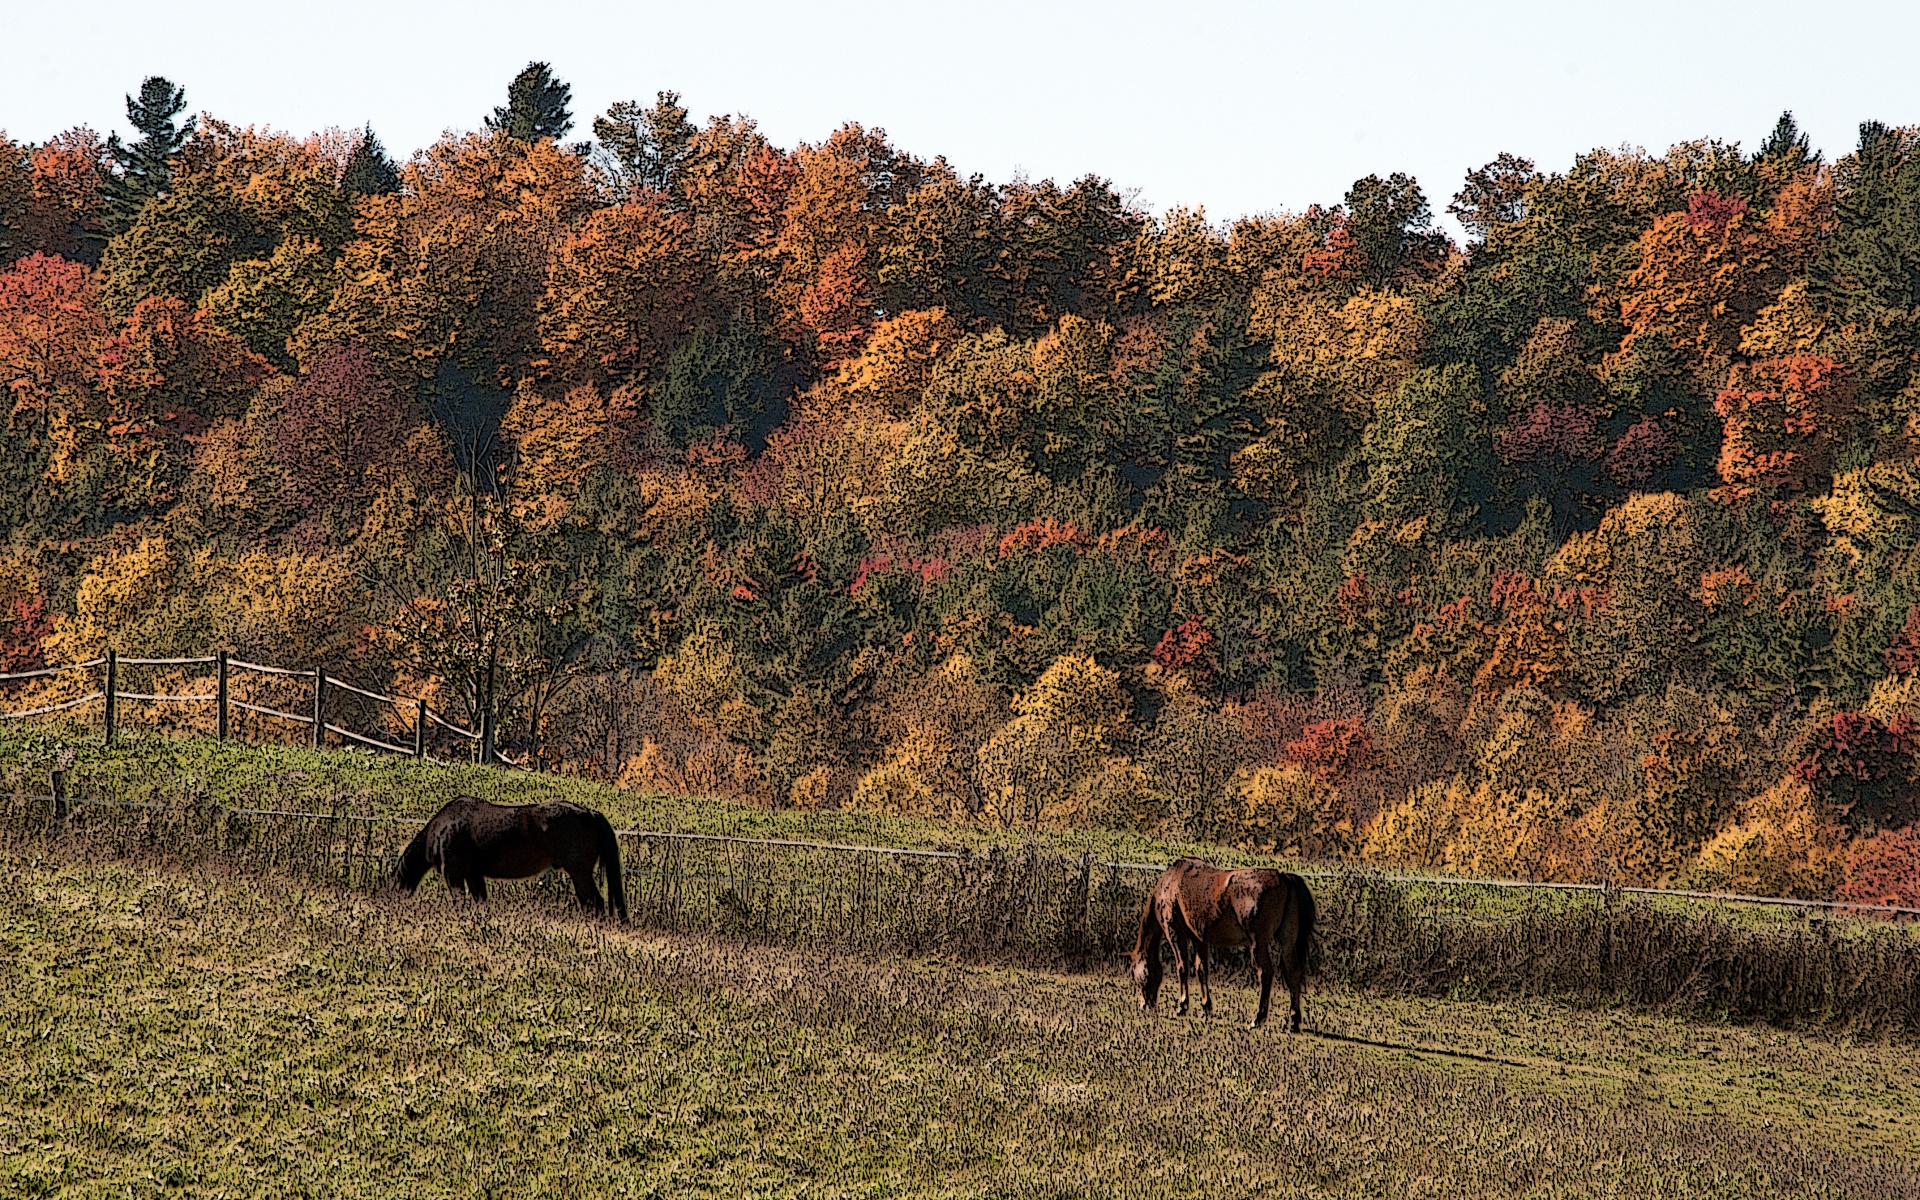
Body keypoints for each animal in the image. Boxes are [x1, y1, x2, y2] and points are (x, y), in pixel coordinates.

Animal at [389, 791, 629, 921]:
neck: (441, 829)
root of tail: (590, 813)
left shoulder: (454, 873)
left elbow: (459, 900)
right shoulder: (473, 874)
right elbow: (480, 901)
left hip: (580, 873)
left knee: (594, 903)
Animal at [1121, 852, 1320, 1029]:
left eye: (1136, 972)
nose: (1144, 1005)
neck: (1171, 883)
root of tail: (1284, 876)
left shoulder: (1175, 933)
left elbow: (1182, 968)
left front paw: (1182, 1006)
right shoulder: (1199, 938)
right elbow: (1201, 969)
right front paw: (1205, 1007)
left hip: (1258, 943)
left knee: (1266, 973)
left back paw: (1257, 1019)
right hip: (1287, 941)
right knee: (1293, 972)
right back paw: (1293, 1021)